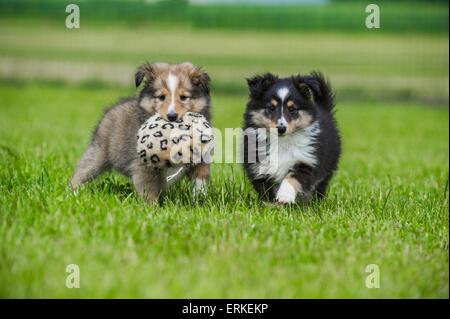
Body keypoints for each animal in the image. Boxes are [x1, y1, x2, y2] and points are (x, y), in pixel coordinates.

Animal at [70, 61, 211, 204]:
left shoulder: (201, 154)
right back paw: (74, 194)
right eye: (161, 97)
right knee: (83, 170)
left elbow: (201, 175)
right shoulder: (143, 165)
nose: (172, 116)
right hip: (99, 154)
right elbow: (148, 189)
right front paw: (151, 208)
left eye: (183, 97)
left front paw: (200, 197)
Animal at [243, 71, 342, 204]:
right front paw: (269, 204)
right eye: (271, 108)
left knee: (320, 186)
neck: (281, 142)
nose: (281, 129)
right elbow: (266, 189)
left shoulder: (306, 160)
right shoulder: (258, 164)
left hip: (327, 167)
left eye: (291, 109)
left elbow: (292, 178)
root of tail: (324, 109)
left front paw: (285, 196)